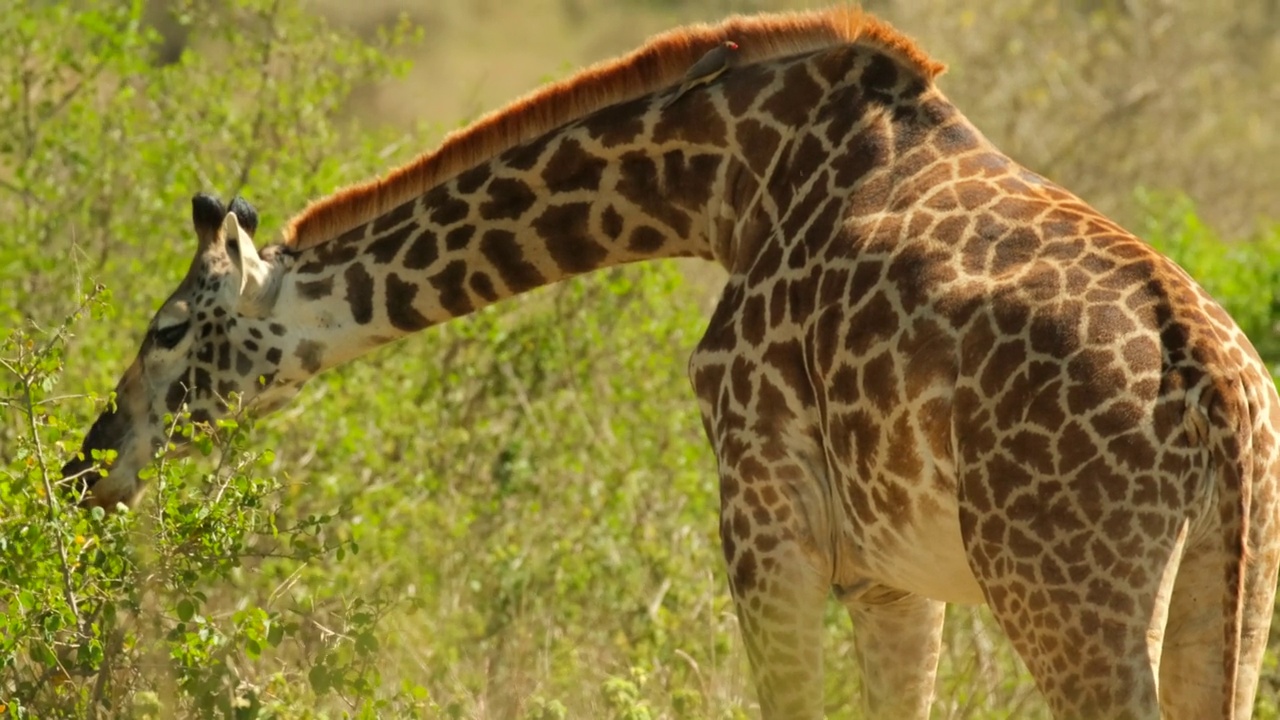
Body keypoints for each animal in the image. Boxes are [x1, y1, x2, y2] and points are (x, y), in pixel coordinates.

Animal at [62, 7, 1280, 717]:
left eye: (167, 330)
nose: (88, 464)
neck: (723, 180)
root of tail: (1215, 397)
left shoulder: (762, 515)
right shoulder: (890, 568)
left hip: (1068, 601)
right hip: (1230, 592)